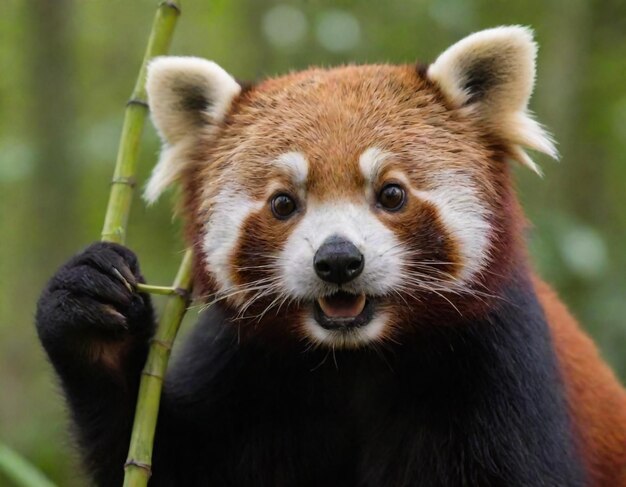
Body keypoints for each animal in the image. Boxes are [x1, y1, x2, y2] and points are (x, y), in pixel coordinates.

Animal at [35, 26, 624, 487]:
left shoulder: (499, 366)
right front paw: (92, 313)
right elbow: (162, 460)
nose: (338, 261)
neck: (355, 360)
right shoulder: (242, 366)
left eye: (391, 194)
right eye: (283, 203)